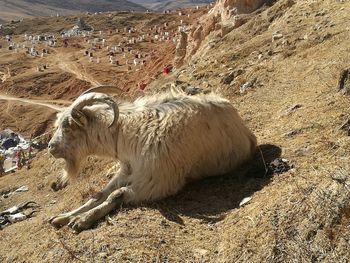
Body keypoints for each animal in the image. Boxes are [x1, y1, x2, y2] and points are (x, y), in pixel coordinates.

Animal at [47, 85, 258, 232]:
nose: (50, 147)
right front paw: (62, 217)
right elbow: (99, 194)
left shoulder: (156, 182)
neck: (128, 134)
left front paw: (81, 220)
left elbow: (117, 194)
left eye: (67, 127)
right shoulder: (127, 170)